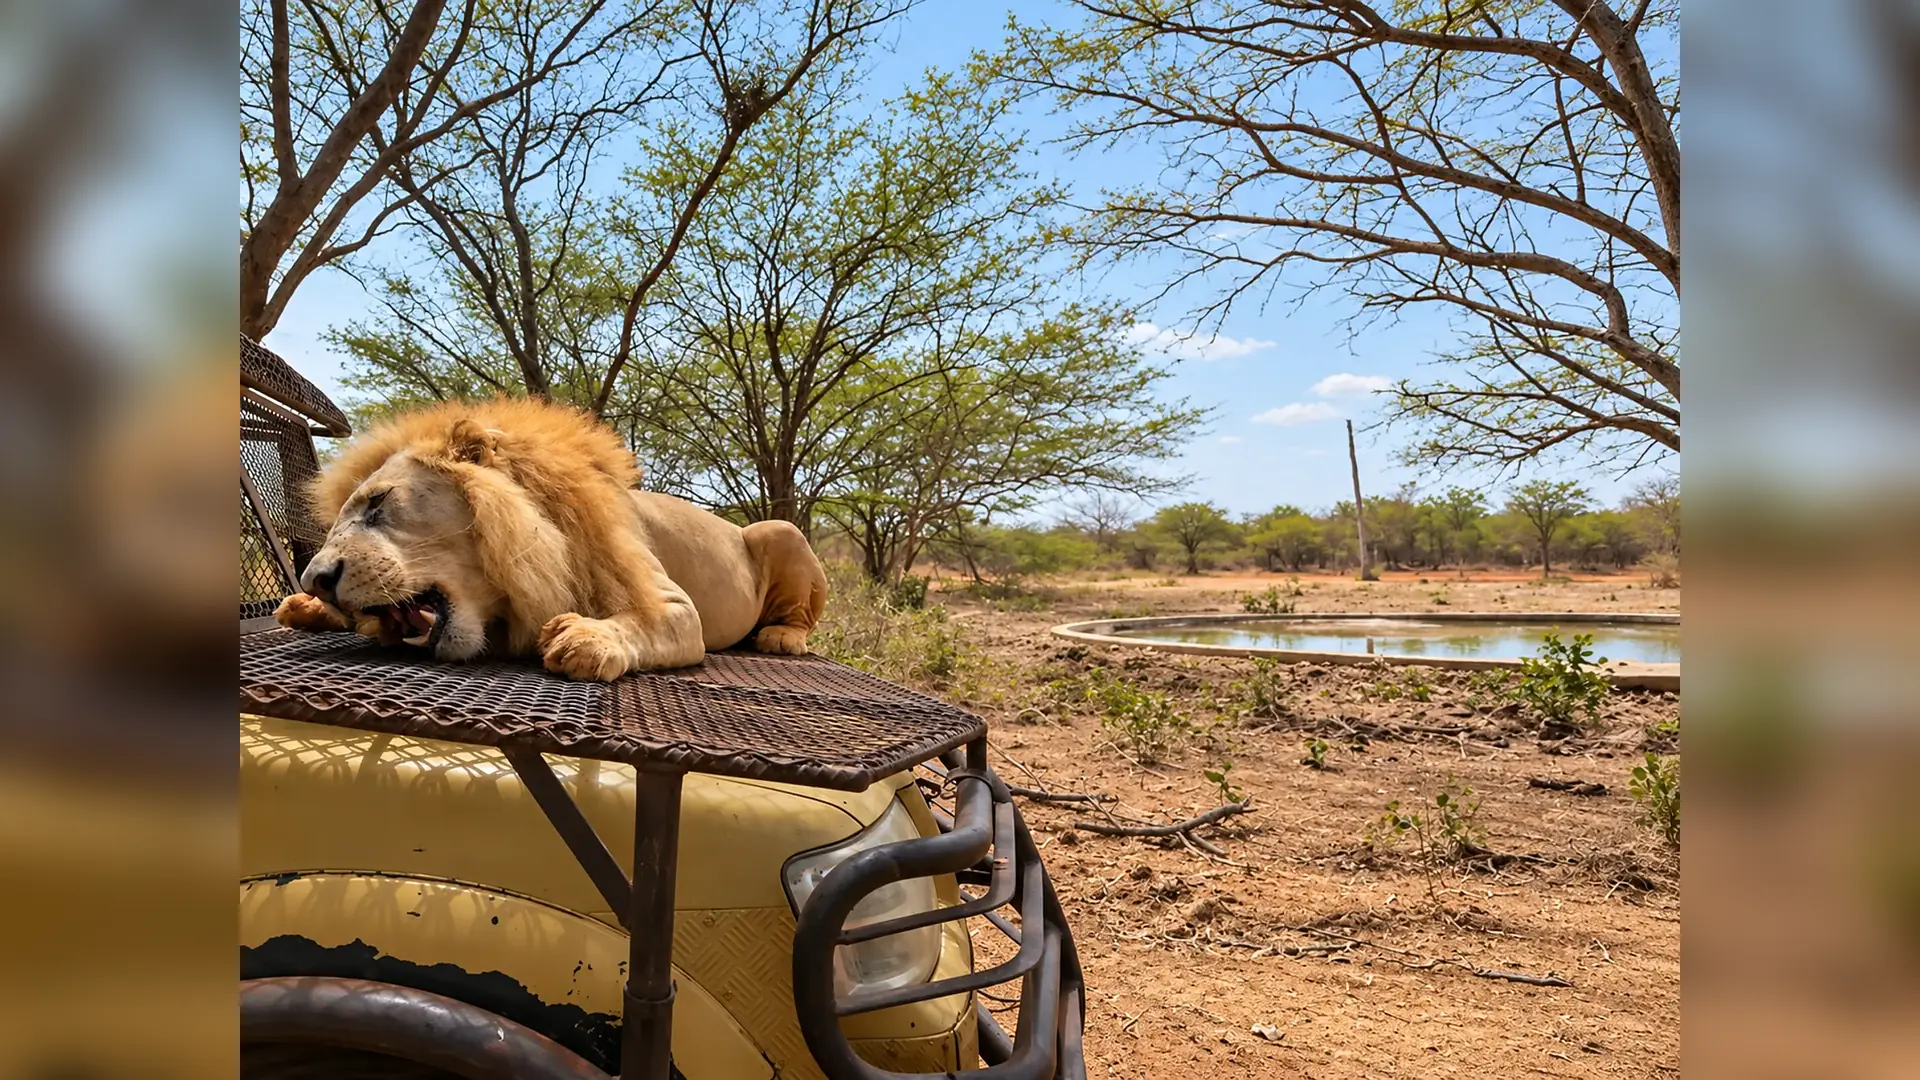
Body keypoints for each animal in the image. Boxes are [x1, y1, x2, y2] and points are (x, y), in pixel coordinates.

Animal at [272, 397, 828, 681]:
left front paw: (587, 638)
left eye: (378, 502)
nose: (316, 579)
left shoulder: (675, 606)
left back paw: (781, 637)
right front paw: (308, 607)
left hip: (780, 530)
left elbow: (644, 621)